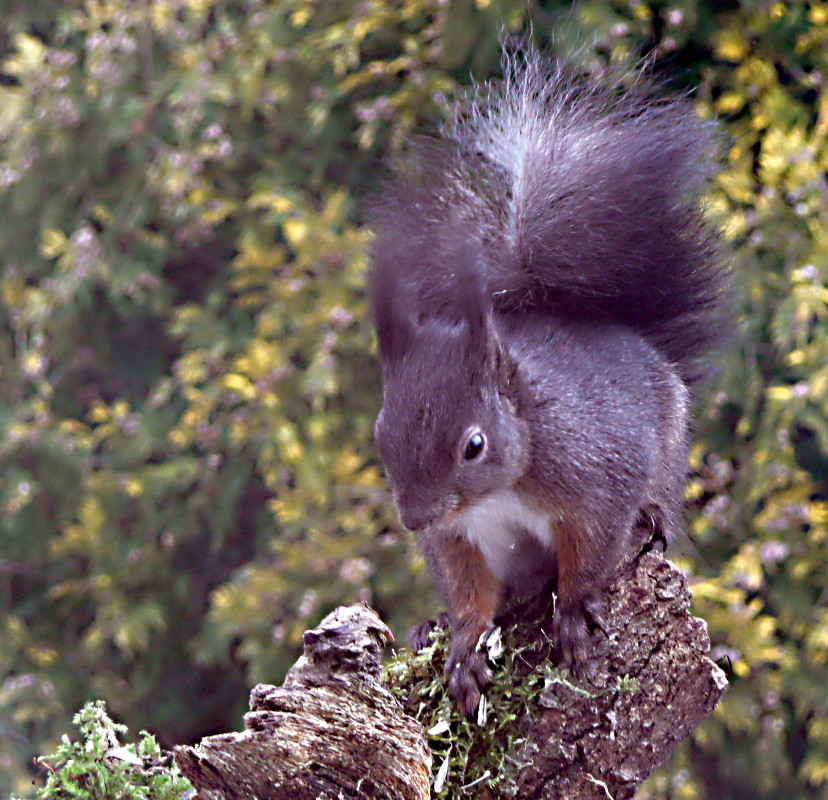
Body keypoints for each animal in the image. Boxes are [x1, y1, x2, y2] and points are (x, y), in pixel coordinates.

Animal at [368, 47, 732, 716]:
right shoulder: (461, 538)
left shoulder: (595, 475)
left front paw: (574, 611)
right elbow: (469, 589)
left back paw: (651, 521)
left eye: (474, 444)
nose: (415, 520)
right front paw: (463, 642)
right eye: (381, 437)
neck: (499, 491)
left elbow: (592, 548)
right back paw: (432, 625)